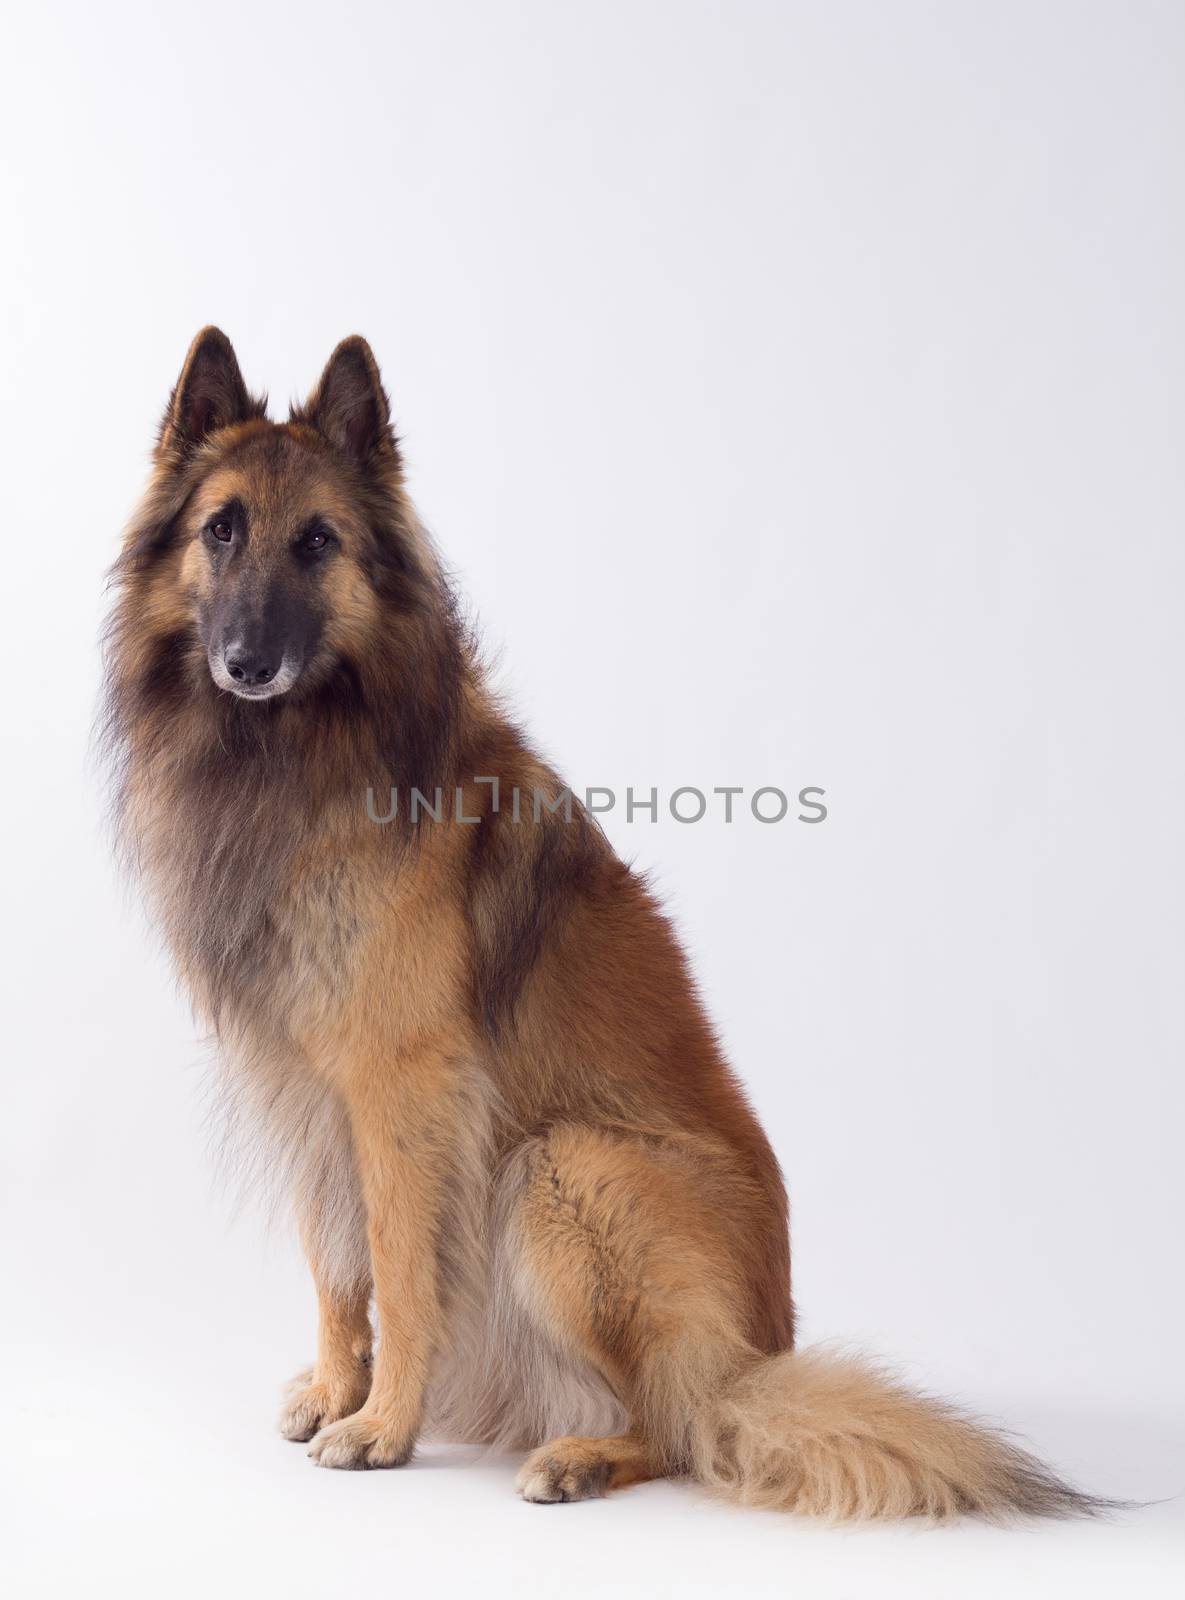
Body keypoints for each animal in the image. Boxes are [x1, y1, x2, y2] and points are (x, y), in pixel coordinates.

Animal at [103, 331, 1100, 1516]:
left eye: (317, 542)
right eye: (223, 528)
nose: (247, 661)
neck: (293, 750)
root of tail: (762, 1355)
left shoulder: (404, 1086)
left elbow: (399, 1261)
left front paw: (383, 1424)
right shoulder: (304, 1086)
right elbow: (336, 1259)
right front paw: (340, 1390)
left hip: (563, 1167)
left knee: (683, 1421)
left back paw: (581, 1455)